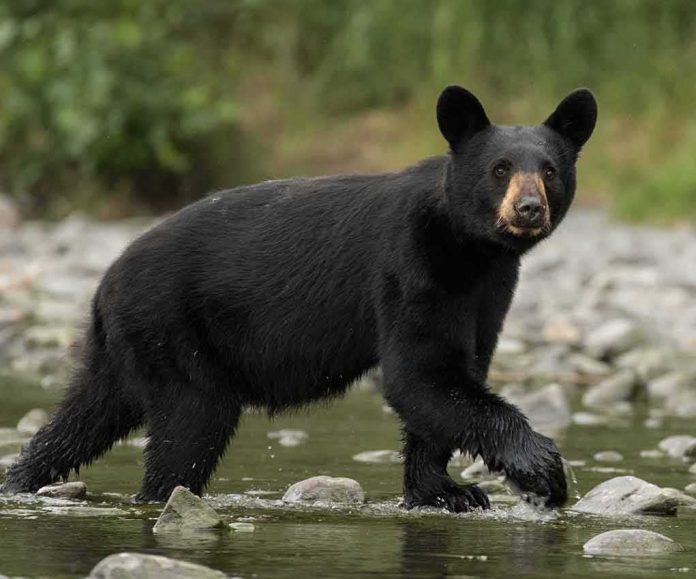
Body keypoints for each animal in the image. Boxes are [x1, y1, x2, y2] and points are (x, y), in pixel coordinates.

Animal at [1, 86, 597, 510]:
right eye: (500, 170)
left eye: (549, 171)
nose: (528, 209)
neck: (470, 248)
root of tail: (106, 279)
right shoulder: (411, 264)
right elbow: (420, 374)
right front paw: (542, 470)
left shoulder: (489, 290)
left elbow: (453, 374)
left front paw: (445, 492)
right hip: (171, 330)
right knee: (188, 425)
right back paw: (159, 496)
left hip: (126, 345)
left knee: (86, 414)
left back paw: (22, 479)